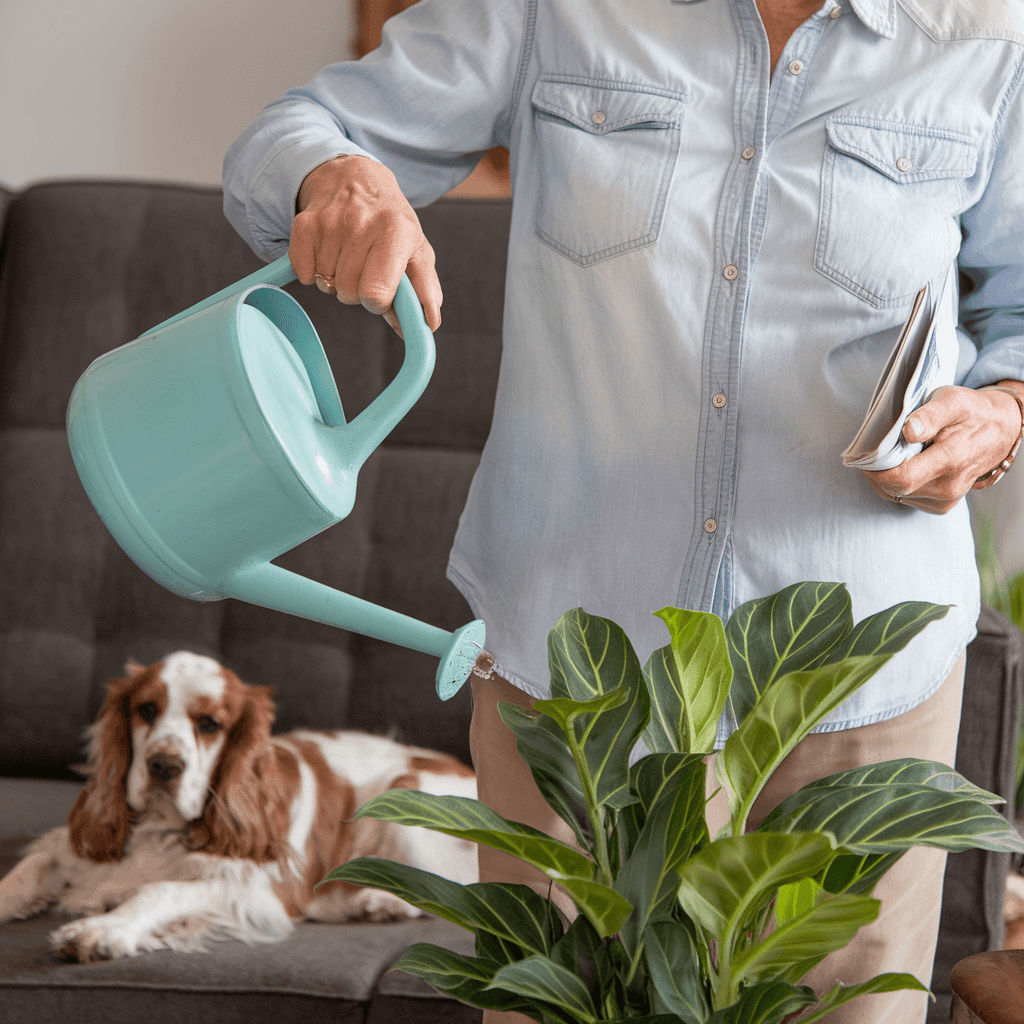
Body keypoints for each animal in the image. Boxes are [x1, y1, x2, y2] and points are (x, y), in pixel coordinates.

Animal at [0, 655, 477, 958]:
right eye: (146, 709)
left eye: (210, 724)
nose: (163, 766)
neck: (161, 827)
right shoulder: (78, 851)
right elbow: (25, 872)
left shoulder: (250, 888)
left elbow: (160, 889)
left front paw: (101, 930)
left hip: (404, 797)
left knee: (455, 890)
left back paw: (381, 901)